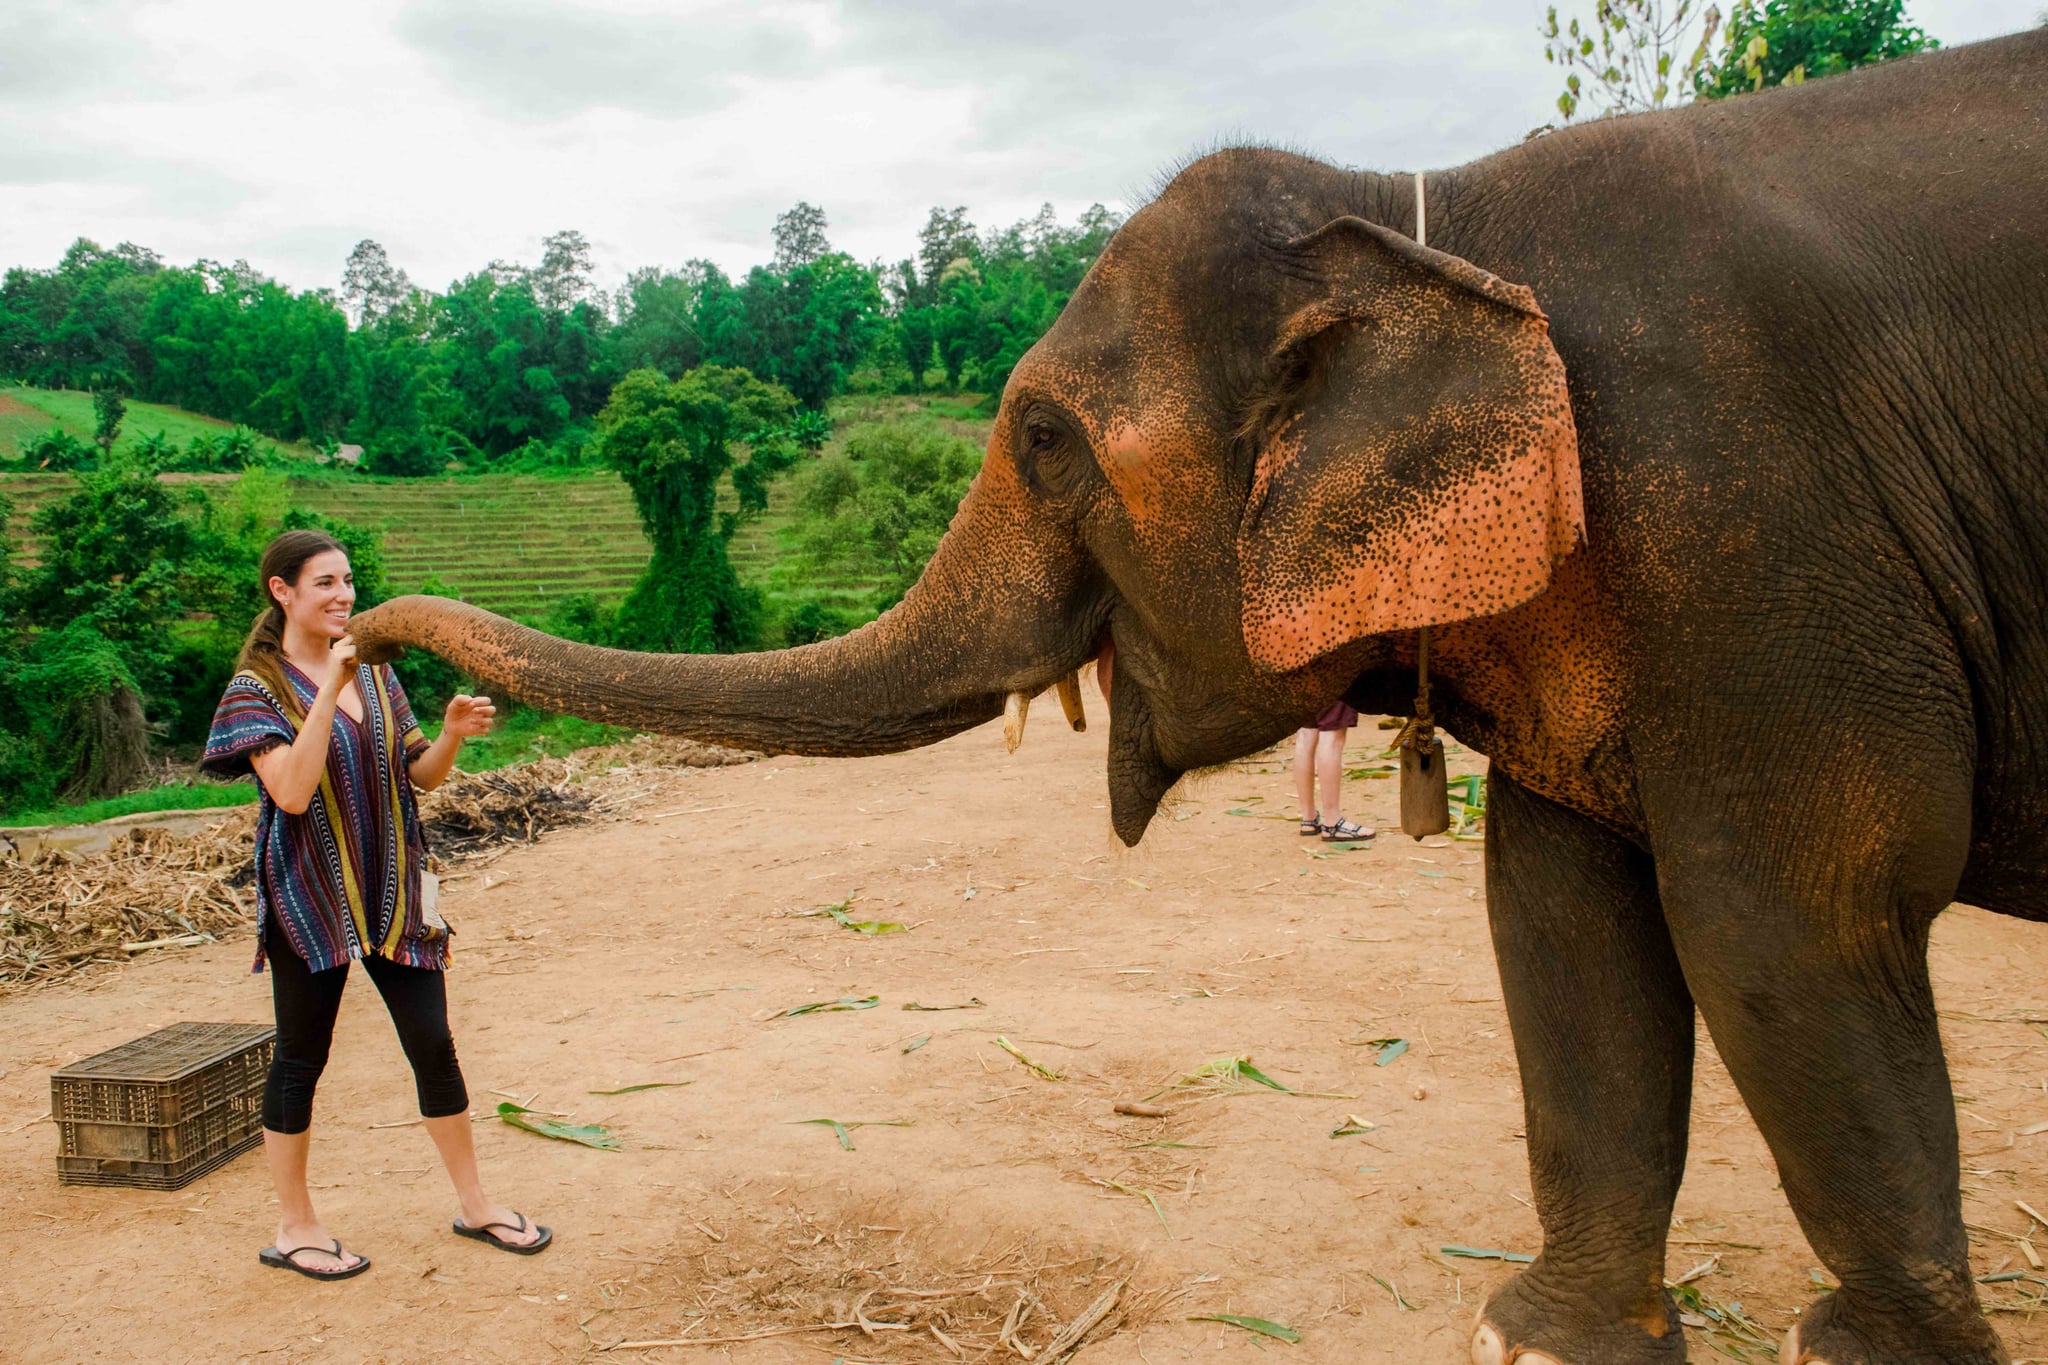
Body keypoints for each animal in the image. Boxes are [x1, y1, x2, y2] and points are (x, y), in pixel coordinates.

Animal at [351, 28, 2048, 1365]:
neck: (1431, 215)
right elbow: (1562, 918)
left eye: (1044, 439)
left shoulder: (1756, 535)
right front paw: (1539, 1341)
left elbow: (1788, 923)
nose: (355, 627)